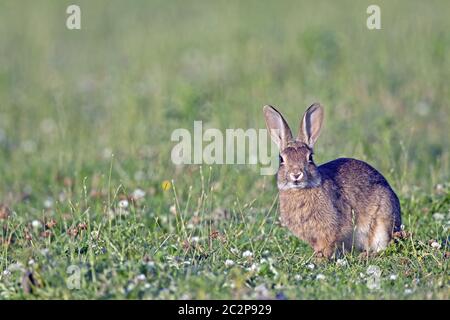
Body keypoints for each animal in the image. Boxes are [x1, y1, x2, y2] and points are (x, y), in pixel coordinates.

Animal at [264, 104, 400, 258]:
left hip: (382, 223)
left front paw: (320, 260)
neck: (300, 191)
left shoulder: (331, 229)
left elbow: (326, 245)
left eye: (310, 157)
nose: (296, 174)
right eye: (281, 159)